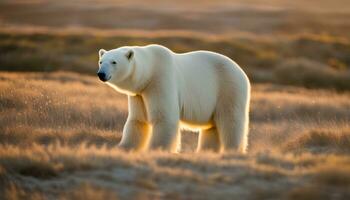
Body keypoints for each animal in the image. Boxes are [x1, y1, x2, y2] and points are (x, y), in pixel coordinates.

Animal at [97, 44, 250, 153]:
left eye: (114, 62)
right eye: (101, 61)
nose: (101, 74)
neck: (150, 70)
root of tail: (241, 71)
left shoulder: (160, 80)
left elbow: (164, 117)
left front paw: (157, 149)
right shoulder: (139, 94)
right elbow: (138, 120)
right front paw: (123, 147)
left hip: (228, 87)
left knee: (230, 119)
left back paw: (232, 150)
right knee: (212, 127)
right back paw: (205, 151)